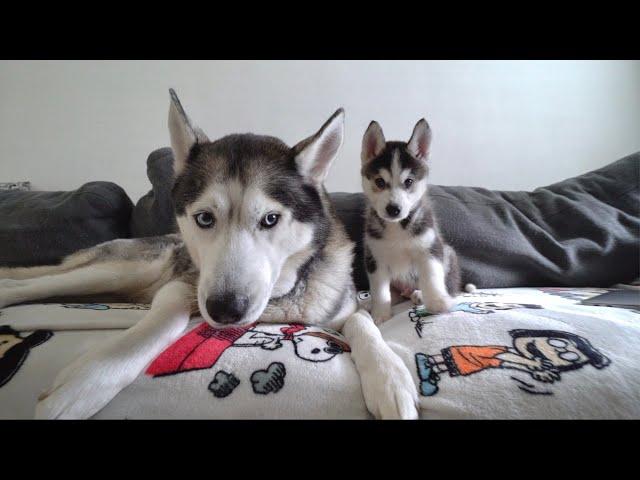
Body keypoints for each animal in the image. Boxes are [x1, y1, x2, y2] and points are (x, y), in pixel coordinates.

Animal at [0, 91, 418, 420]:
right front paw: (86, 383)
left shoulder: (342, 306)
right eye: (204, 218)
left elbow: (364, 324)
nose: (225, 310)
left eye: (270, 219)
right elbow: (163, 320)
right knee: (35, 283)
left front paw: (390, 377)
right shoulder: (183, 286)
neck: (276, 305)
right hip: (120, 269)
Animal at [362, 118, 472, 324]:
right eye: (380, 182)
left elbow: (431, 277)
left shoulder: (430, 248)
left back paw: (421, 294)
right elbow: (380, 291)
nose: (393, 209)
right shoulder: (375, 257)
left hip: (449, 254)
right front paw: (380, 314)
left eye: (409, 182)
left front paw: (437, 303)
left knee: (450, 287)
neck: (397, 227)